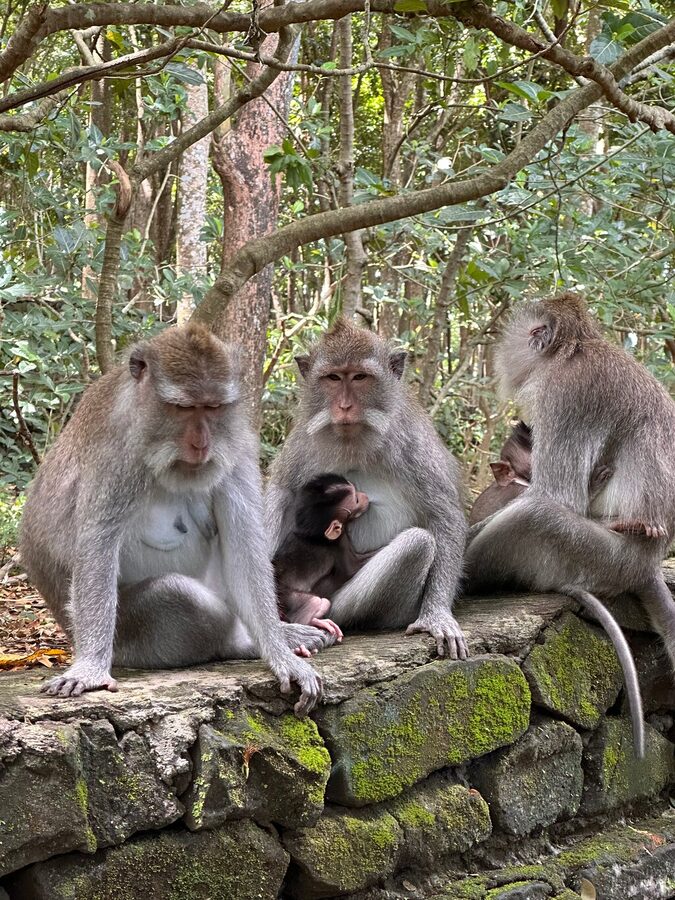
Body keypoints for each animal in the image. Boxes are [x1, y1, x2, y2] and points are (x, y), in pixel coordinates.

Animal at [20, 324, 331, 714]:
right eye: (183, 408)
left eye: (212, 407)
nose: (201, 444)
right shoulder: (117, 451)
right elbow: (97, 546)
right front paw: (90, 668)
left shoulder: (237, 442)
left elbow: (243, 545)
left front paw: (279, 654)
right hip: (130, 641)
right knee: (177, 593)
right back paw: (239, 643)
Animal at [273, 473, 376, 639]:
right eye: (356, 500)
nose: (365, 496)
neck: (313, 534)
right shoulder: (339, 542)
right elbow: (351, 568)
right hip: (286, 597)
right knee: (314, 602)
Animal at [464, 292, 675, 757]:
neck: (573, 350)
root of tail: (647, 563)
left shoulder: (568, 394)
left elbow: (556, 497)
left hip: (601, 558)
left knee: (536, 517)